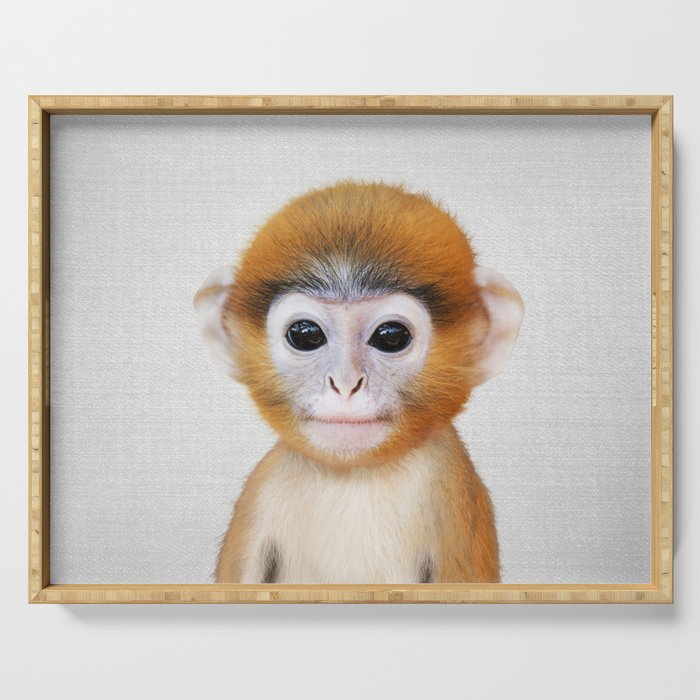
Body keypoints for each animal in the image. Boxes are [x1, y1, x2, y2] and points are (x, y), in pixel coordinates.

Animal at [194, 181, 523, 584]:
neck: (354, 476)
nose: (346, 384)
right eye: (305, 335)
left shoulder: (453, 495)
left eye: (391, 337)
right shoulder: (259, 496)